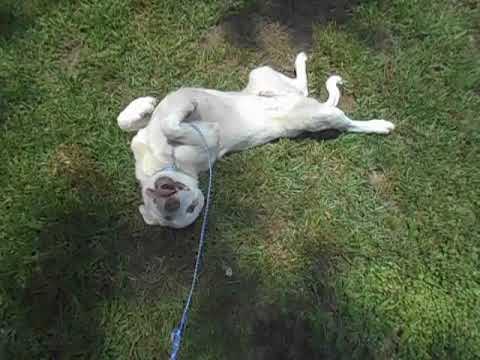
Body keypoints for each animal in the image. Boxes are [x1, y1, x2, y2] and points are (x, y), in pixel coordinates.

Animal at [116, 52, 394, 228]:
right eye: (190, 209)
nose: (171, 204)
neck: (162, 162)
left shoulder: (174, 133)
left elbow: (137, 121)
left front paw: (146, 105)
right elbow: (157, 124)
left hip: (263, 77)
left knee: (324, 104)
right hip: (315, 114)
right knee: (330, 108)